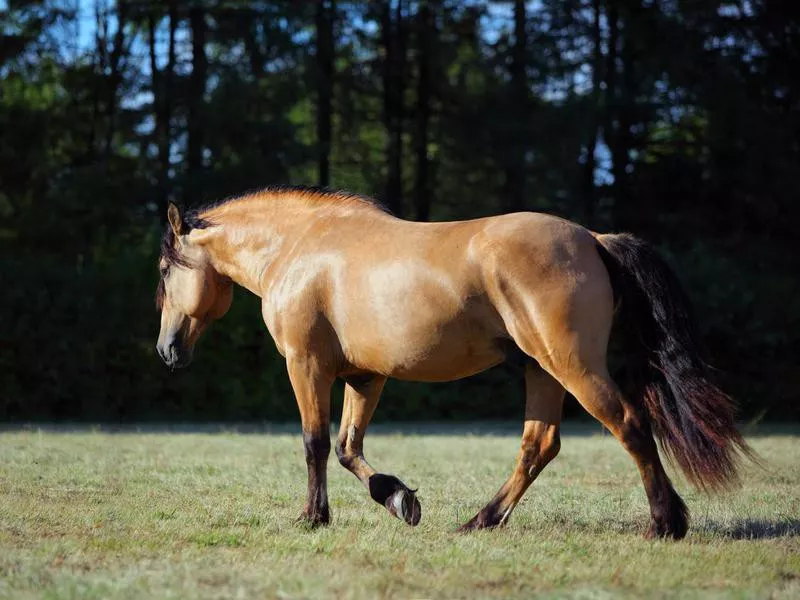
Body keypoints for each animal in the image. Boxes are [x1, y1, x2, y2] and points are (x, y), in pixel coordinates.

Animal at [156, 184, 752, 540]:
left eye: (164, 270)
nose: (167, 349)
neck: (299, 248)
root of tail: (593, 239)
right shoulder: (366, 376)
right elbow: (349, 449)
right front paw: (399, 499)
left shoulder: (307, 366)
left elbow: (315, 443)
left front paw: (313, 517)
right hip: (541, 369)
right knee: (539, 445)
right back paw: (481, 520)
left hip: (572, 366)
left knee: (628, 425)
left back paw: (665, 523)